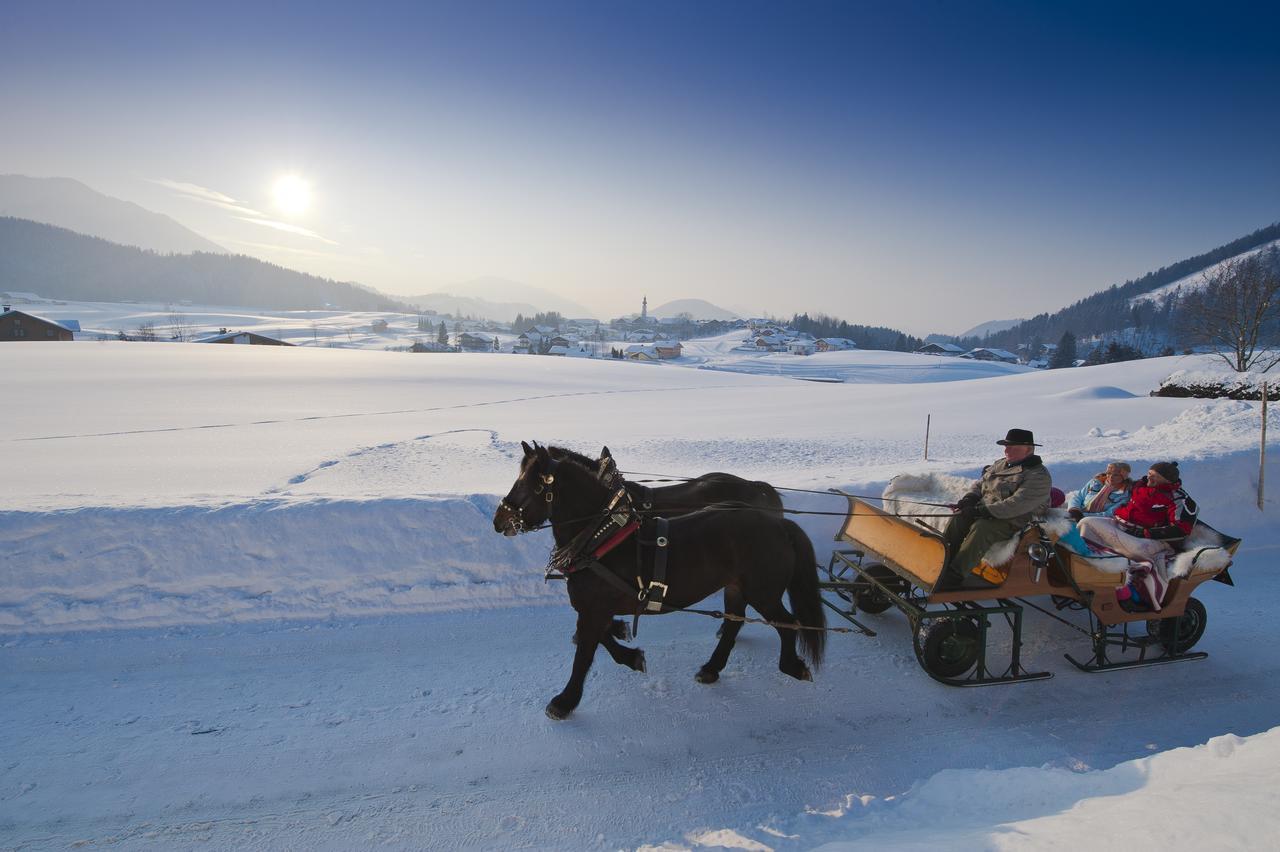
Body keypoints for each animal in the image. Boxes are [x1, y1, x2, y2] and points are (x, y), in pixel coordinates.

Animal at [494, 440, 824, 721]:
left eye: (534, 484)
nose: (499, 521)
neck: (600, 538)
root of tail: (779, 524)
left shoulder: (594, 608)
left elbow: (584, 654)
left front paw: (564, 701)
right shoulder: (596, 607)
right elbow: (599, 638)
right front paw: (631, 655)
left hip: (762, 592)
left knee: (787, 623)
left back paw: (792, 666)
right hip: (736, 587)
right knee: (734, 622)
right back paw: (711, 668)